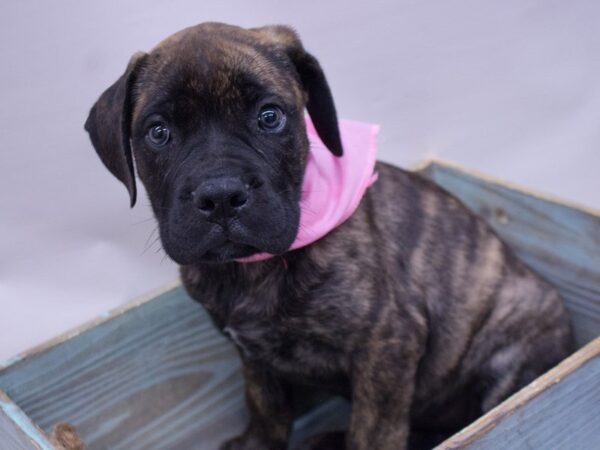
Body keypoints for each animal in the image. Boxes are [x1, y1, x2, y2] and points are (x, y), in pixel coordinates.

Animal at [83, 22, 572, 450]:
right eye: (158, 132)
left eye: (270, 117)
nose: (221, 195)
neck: (252, 270)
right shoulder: (253, 357)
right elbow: (265, 409)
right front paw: (257, 444)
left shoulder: (386, 345)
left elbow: (374, 433)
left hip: (509, 353)